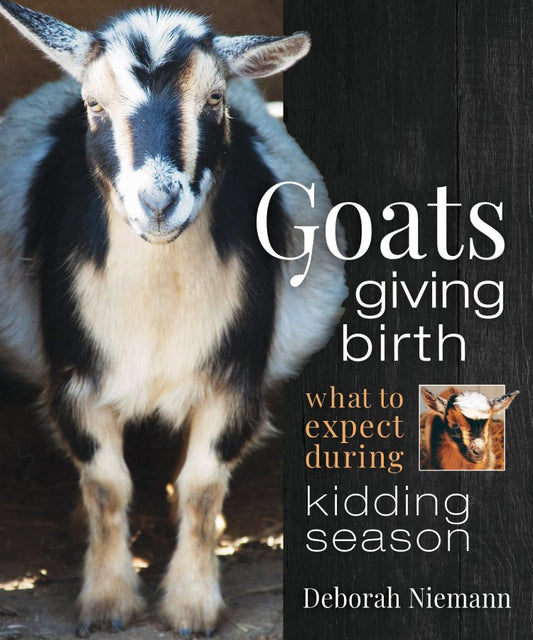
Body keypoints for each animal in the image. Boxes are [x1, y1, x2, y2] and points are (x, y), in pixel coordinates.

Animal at [0, 1, 347, 636]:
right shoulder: (74, 377)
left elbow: (202, 488)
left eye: (214, 99)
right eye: (93, 104)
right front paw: (108, 602)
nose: (159, 204)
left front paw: (192, 605)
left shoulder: (234, 377)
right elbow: (107, 486)